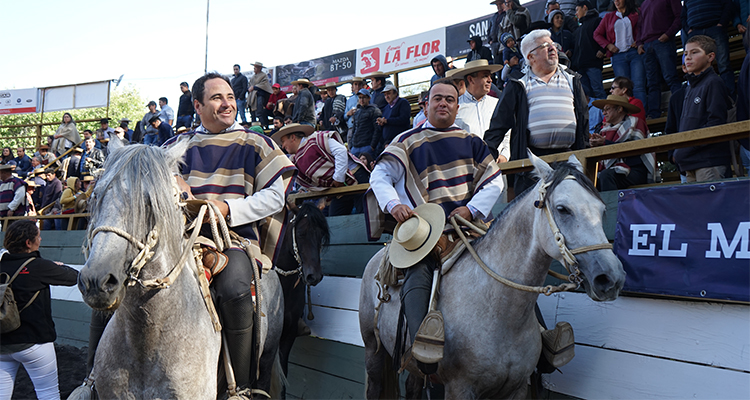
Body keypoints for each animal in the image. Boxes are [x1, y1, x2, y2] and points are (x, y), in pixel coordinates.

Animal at [358, 154, 628, 400]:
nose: (610, 278)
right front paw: (400, 209)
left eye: (602, 210)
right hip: (373, 350)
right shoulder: (460, 388)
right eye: (563, 209)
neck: (499, 311)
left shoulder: (516, 389)